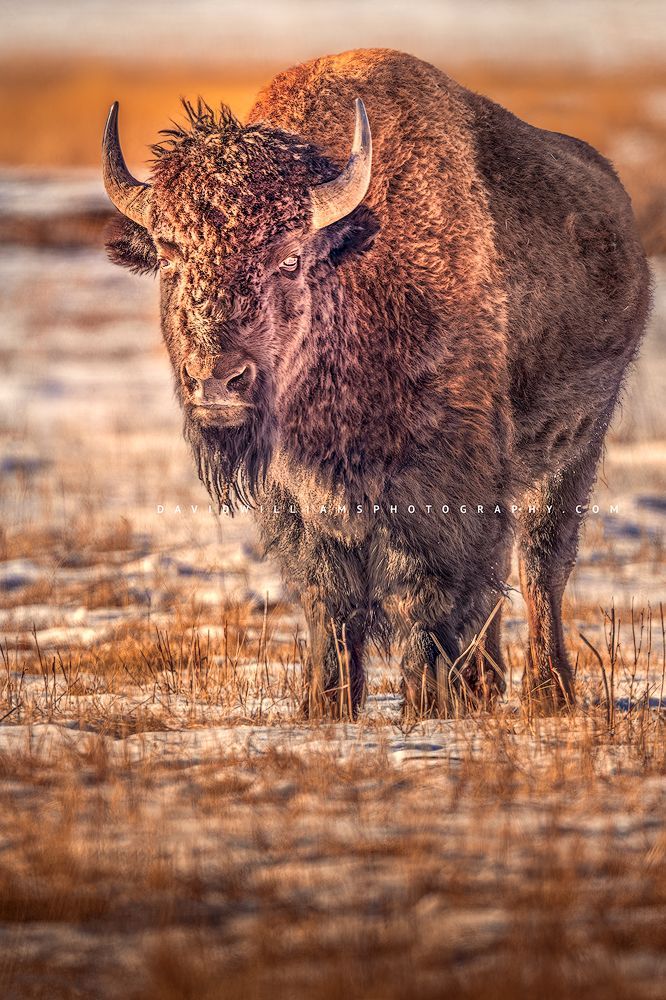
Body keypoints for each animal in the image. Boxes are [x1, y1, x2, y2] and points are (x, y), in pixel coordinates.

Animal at [103, 48, 651, 717]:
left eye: (290, 259)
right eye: (170, 255)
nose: (217, 381)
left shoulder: (443, 482)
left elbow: (429, 591)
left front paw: (425, 701)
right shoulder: (297, 501)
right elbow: (330, 599)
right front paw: (325, 704)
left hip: (576, 446)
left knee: (540, 562)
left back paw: (549, 692)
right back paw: (484, 683)